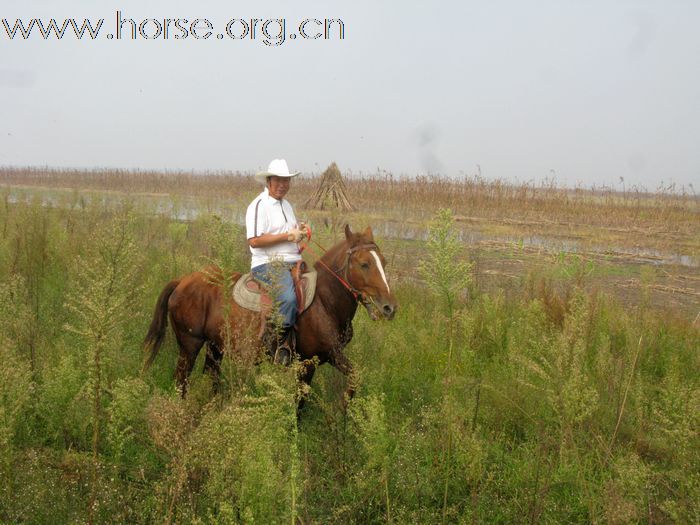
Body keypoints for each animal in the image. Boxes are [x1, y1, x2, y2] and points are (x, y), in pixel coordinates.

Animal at [142, 223, 396, 404]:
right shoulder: (312, 361)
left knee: (211, 376)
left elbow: (352, 378)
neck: (324, 302)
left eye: (383, 262)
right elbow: (301, 402)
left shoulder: (325, 357)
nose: (390, 307)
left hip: (215, 346)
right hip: (190, 344)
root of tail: (182, 281)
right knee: (181, 380)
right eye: (364, 264)